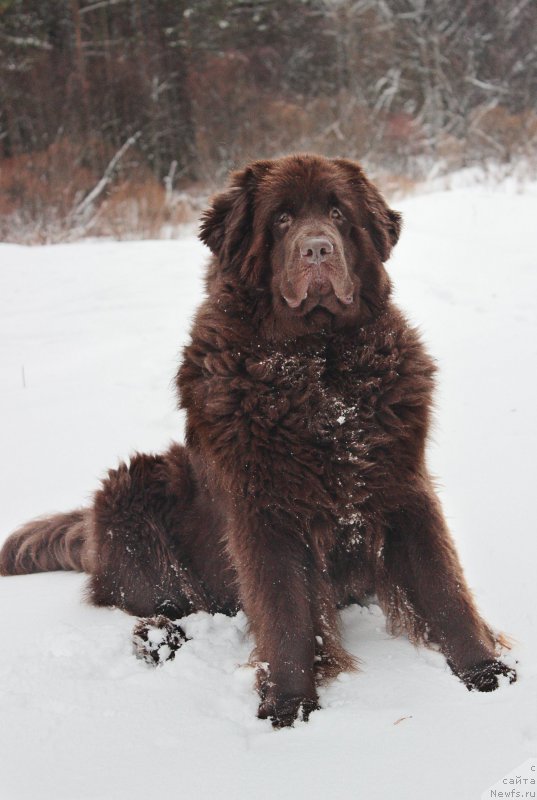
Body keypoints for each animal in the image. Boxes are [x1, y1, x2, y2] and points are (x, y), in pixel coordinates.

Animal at [0, 155, 512, 724]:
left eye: (338, 212)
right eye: (282, 220)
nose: (318, 249)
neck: (320, 367)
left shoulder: (402, 485)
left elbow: (445, 590)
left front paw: (487, 675)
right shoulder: (264, 508)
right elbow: (284, 611)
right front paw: (288, 707)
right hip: (131, 492)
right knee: (160, 600)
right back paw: (158, 639)